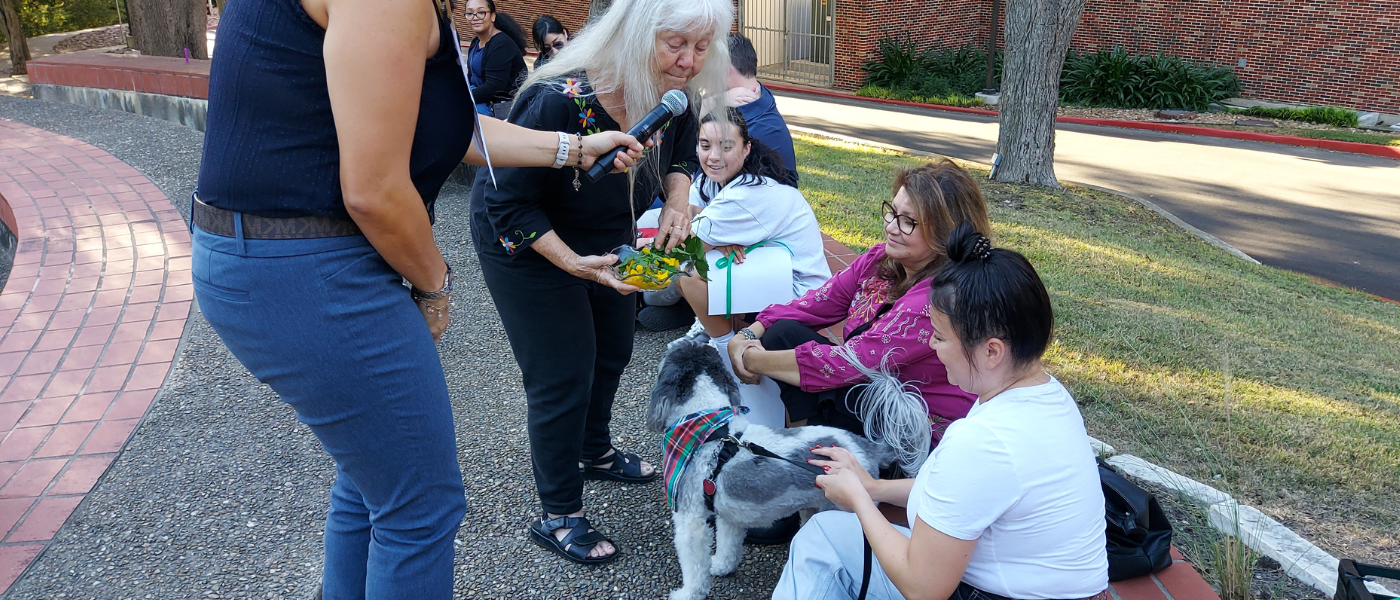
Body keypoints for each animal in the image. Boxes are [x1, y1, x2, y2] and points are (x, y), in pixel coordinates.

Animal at [649, 337, 935, 598]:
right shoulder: (727, 514)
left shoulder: (690, 521)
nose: (699, 335)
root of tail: (867, 447)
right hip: (814, 507)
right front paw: (720, 565)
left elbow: (694, 566)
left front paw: (687, 593)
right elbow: (728, 545)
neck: (712, 431)